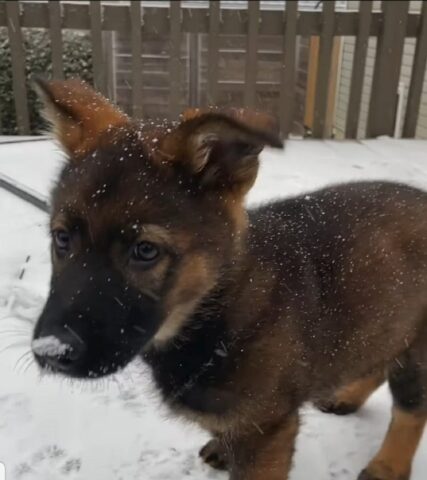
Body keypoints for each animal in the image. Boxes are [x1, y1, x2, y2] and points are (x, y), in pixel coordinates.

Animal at [32, 79, 427, 480]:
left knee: (411, 409)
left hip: (418, 347)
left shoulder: (267, 429)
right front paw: (223, 448)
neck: (218, 308)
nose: (50, 351)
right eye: (61, 239)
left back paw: (387, 467)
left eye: (145, 250)